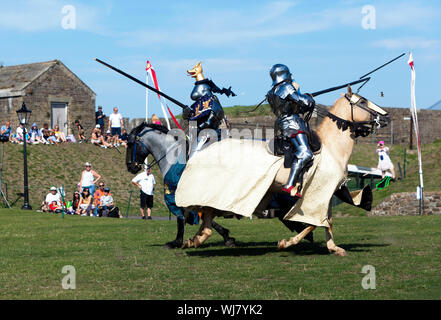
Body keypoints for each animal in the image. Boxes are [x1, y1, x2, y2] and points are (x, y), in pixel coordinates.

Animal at [180, 86, 386, 256]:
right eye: (362, 101)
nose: (385, 117)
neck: (331, 148)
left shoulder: (327, 193)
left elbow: (327, 220)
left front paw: (333, 247)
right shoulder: (316, 194)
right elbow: (315, 222)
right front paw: (287, 243)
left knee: (207, 220)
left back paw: (194, 240)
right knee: (206, 214)